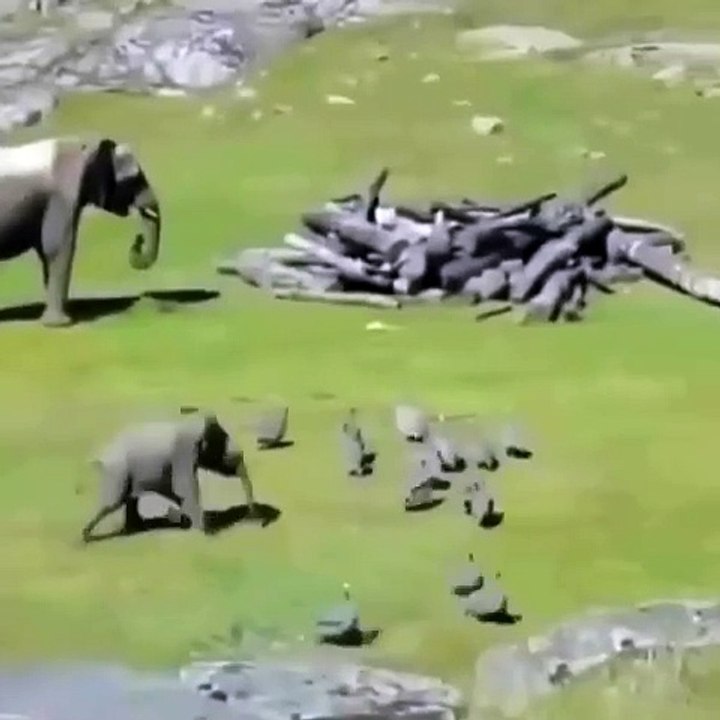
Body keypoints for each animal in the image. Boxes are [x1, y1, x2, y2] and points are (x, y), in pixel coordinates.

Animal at [0, 135, 161, 327]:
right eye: (134, 180)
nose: (138, 239)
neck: (86, 146)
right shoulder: (62, 195)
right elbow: (59, 247)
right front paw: (59, 324)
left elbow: (47, 251)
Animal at [82, 410, 252, 542]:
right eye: (223, 442)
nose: (252, 513)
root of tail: (101, 456)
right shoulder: (183, 451)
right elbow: (184, 488)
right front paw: (207, 532)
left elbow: (176, 491)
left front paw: (186, 521)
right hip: (118, 471)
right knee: (113, 503)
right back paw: (87, 537)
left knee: (129, 500)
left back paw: (138, 527)